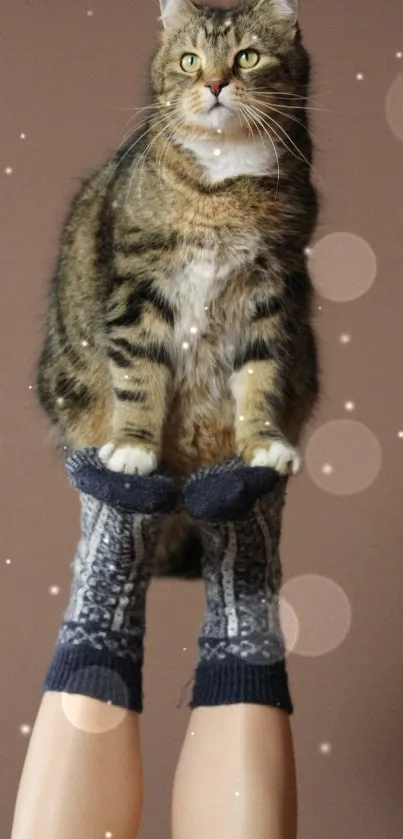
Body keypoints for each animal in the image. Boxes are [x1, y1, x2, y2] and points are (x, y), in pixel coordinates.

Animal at [37, 0, 322, 576]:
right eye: (190, 60)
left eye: (247, 56)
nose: (214, 83)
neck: (224, 186)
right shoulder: (138, 288)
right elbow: (139, 374)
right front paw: (133, 449)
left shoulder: (274, 289)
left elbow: (262, 376)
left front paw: (263, 444)